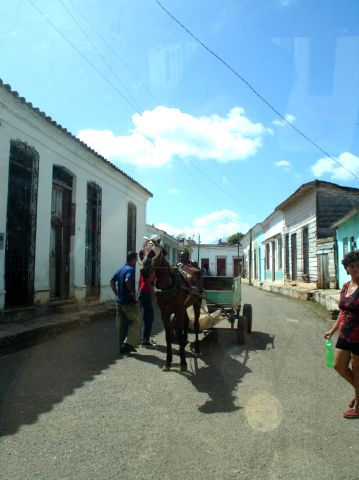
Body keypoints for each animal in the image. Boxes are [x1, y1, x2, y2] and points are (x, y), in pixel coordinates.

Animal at [141, 240, 204, 372]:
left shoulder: (178, 310)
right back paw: (184, 342)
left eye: (154, 253)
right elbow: (168, 336)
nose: (144, 270)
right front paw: (168, 361)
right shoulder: (164, 312)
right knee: (186, 322)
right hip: (184, 307)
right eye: (142, 252)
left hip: (197, 301)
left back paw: (197, 348)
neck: (168, 285)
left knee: (196, 325)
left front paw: (183, 362)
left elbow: (178, 334)